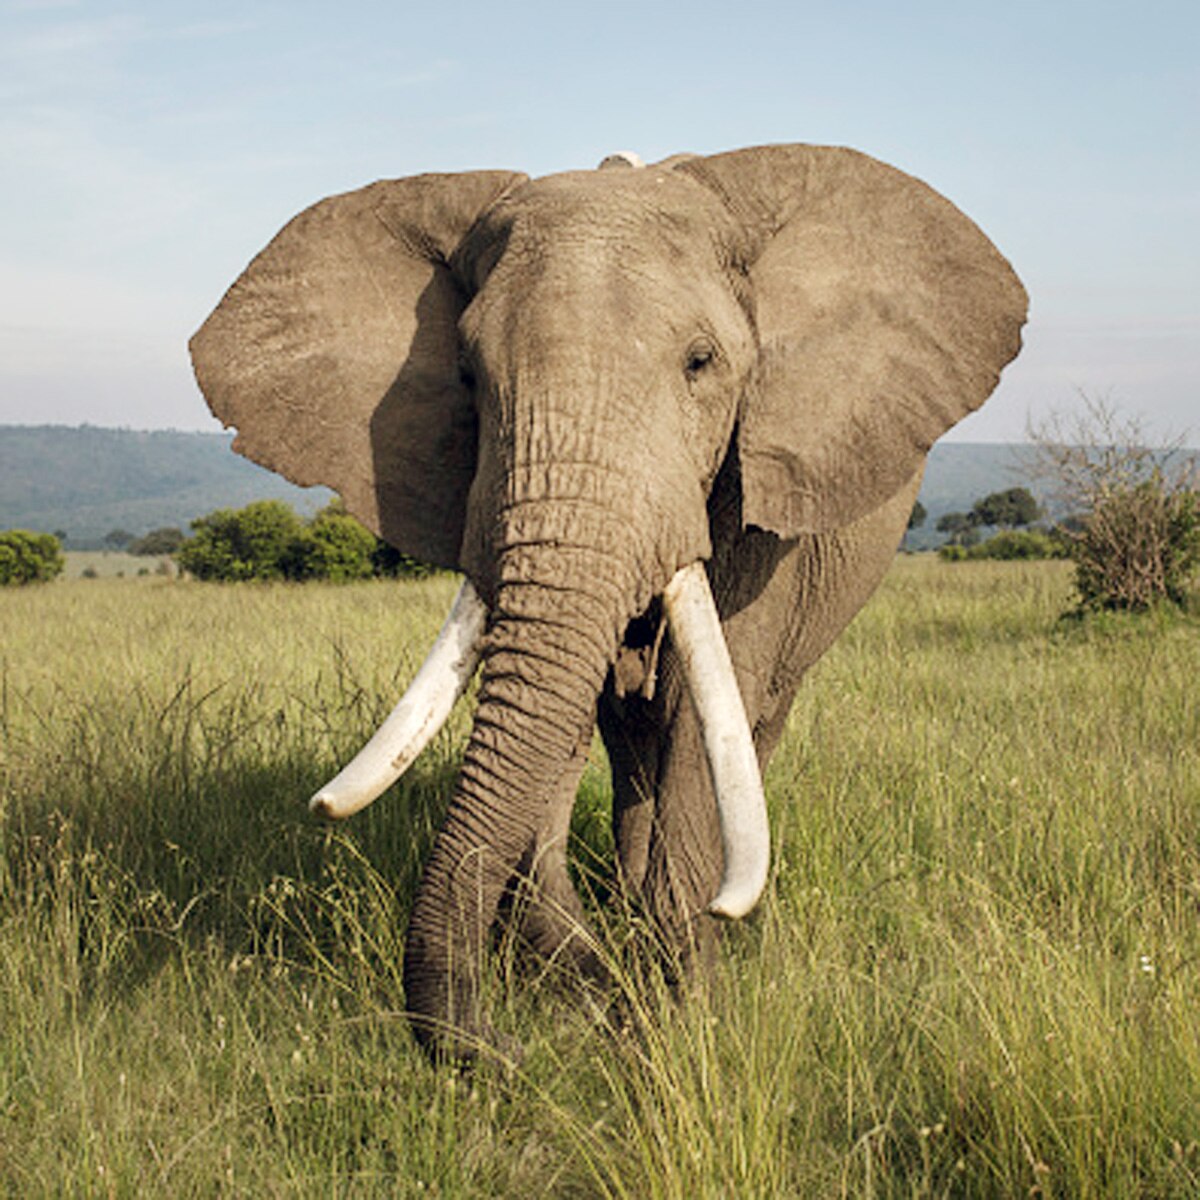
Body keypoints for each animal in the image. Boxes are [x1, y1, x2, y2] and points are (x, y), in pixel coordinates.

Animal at [190, 143, 1026, 1058]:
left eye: (701, 362)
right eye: (467, 378)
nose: (501, 1051)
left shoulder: (758, 492)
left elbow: (704, 722)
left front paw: (678, 1015)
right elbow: (556, 711)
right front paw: (602, 987)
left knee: (749, 722)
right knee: (629, 740)